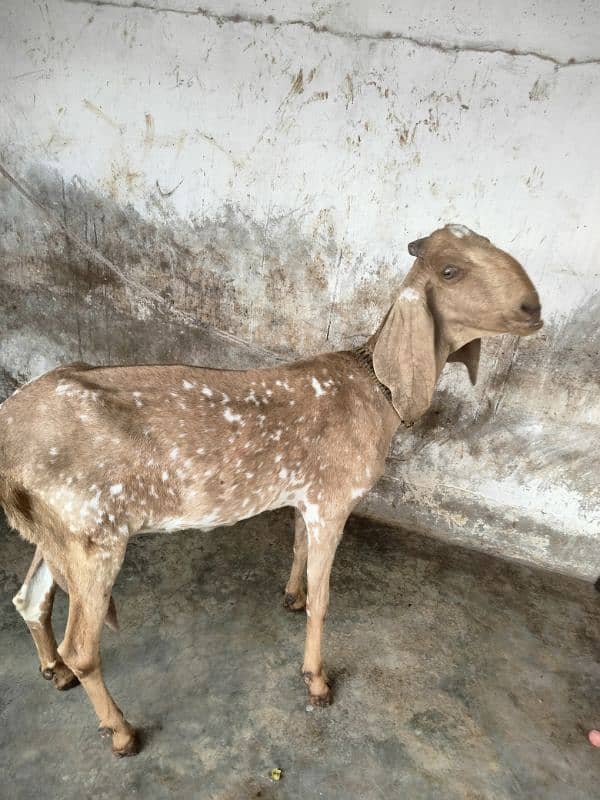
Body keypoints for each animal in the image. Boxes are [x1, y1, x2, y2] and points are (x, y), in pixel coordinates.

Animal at [1, 223, 544, 756]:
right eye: (450, 270)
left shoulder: (306, 496)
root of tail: (10, 444)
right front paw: (317, 681)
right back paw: (120, 731)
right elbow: (326, 599)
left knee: (29, 598)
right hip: (94, 535)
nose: (532, 309)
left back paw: (54, 673)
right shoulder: (333, 501)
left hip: (59, 533)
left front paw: (291, 597)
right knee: (82, 648)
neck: (375, 387)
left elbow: (298, 546)